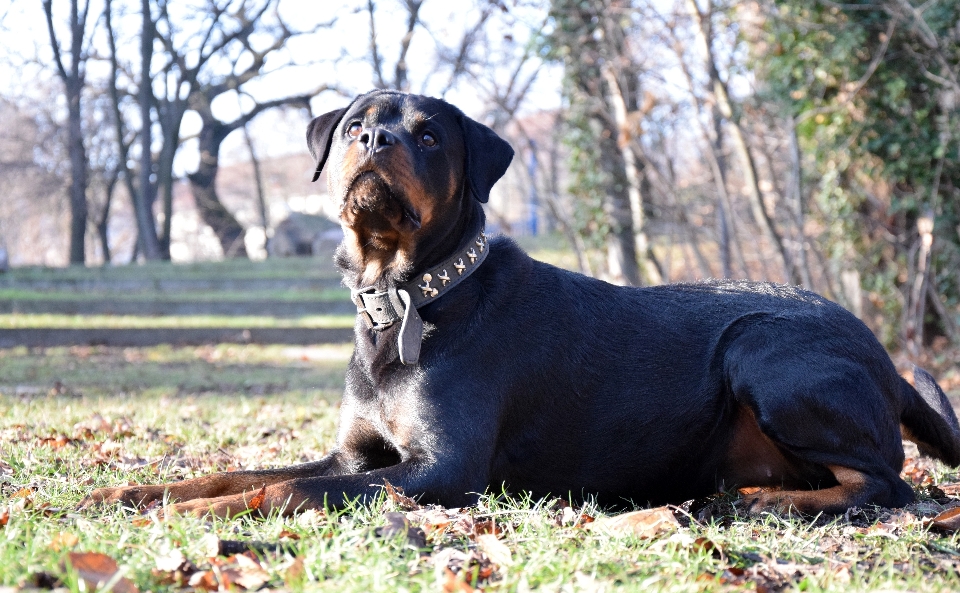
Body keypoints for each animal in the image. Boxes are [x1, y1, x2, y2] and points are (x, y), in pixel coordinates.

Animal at [82, 90, 960, 516]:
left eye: (429, 134)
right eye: (357, 124)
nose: (376, 142)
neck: (403, 297)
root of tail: (887, 359)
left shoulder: (443, 468)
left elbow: (284, 488)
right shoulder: (358, 456)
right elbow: (233, 470)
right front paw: (135, 494)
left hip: (763, 348)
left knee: (889, 483)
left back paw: (760, 501)